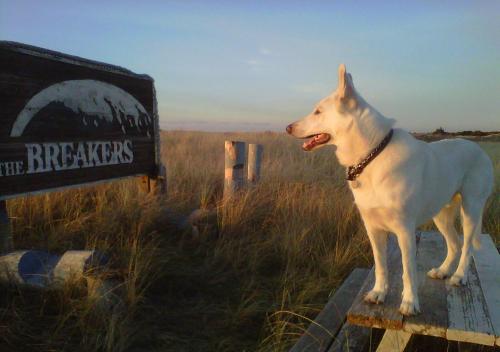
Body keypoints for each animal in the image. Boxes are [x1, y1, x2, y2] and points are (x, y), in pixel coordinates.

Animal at [288, 64, 494, 314]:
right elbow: (381, 265)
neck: (371, 155)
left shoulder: (405, 230)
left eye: (318, 112)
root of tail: (479, 149)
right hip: (441, 213)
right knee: (454, 244)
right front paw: (379, 293)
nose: (288, 128)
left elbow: (408, 270)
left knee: (466, 247)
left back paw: (459, 276)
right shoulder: (373, 229)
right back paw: (443, 271)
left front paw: (410, 302)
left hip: (471, 209)